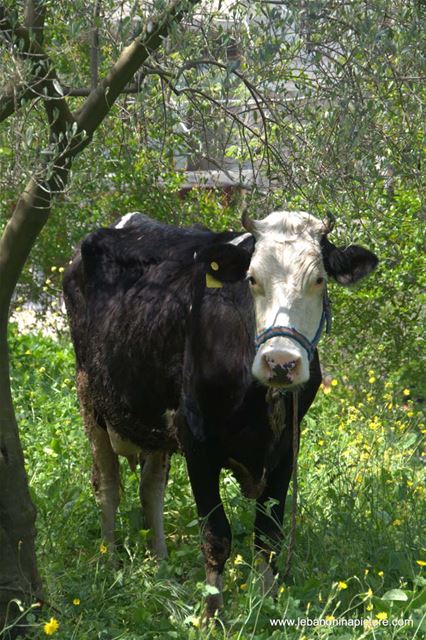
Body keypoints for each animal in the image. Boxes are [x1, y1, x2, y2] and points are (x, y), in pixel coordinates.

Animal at [62, 210, 376, 616]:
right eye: (252, 279)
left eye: (319, 280)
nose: (281, 362)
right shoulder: (196, 441)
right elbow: (216, 536)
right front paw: (213, 615)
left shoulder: (287, 447)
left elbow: (268, 535)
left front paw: (265, 607)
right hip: (91, 398)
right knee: (108, 486)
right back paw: (112, 566)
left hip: (154, 421)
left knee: (151, 489)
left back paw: (162, 572)